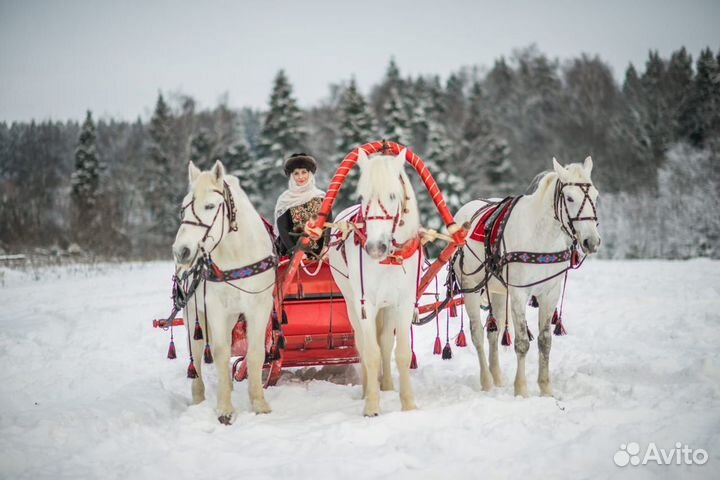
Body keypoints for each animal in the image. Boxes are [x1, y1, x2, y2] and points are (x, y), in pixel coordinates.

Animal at [173, 160, 278, 424]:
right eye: (183, 209)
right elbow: (220, 353)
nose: (181, 251)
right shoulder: (215, 309)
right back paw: (199, 398)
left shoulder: (259, 307)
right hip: (193, 313)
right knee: (196, 352)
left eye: (210, 206)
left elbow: (255, 352)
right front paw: (224, 408)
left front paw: (259, 403)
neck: (236, 255)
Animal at [328, 148, 422, 414]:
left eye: (392, 195)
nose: (375, 247)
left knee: (386, 342)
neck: (389, 259)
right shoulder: (366, 304)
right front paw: (371, 405)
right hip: (351, 302)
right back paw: (367, 390)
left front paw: (408, 403)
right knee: (363, 343)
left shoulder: (403, 303)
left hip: (388, 307)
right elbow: (371, 353)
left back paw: (387, 385)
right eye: (362, 196)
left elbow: (401, 352)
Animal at [456, 158, 600, 398]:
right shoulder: (518, 294)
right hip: (471, 288)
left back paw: (497, 377)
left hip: (497, 291)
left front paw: (546, 388)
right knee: (476, 333)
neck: (541, 236)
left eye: (596, 196)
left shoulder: (550, 293)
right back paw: (486, 380)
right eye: (570, 198)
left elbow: (545, 341)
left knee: (493, 333)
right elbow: (522, 342)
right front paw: (521, 389)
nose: (592, 241)